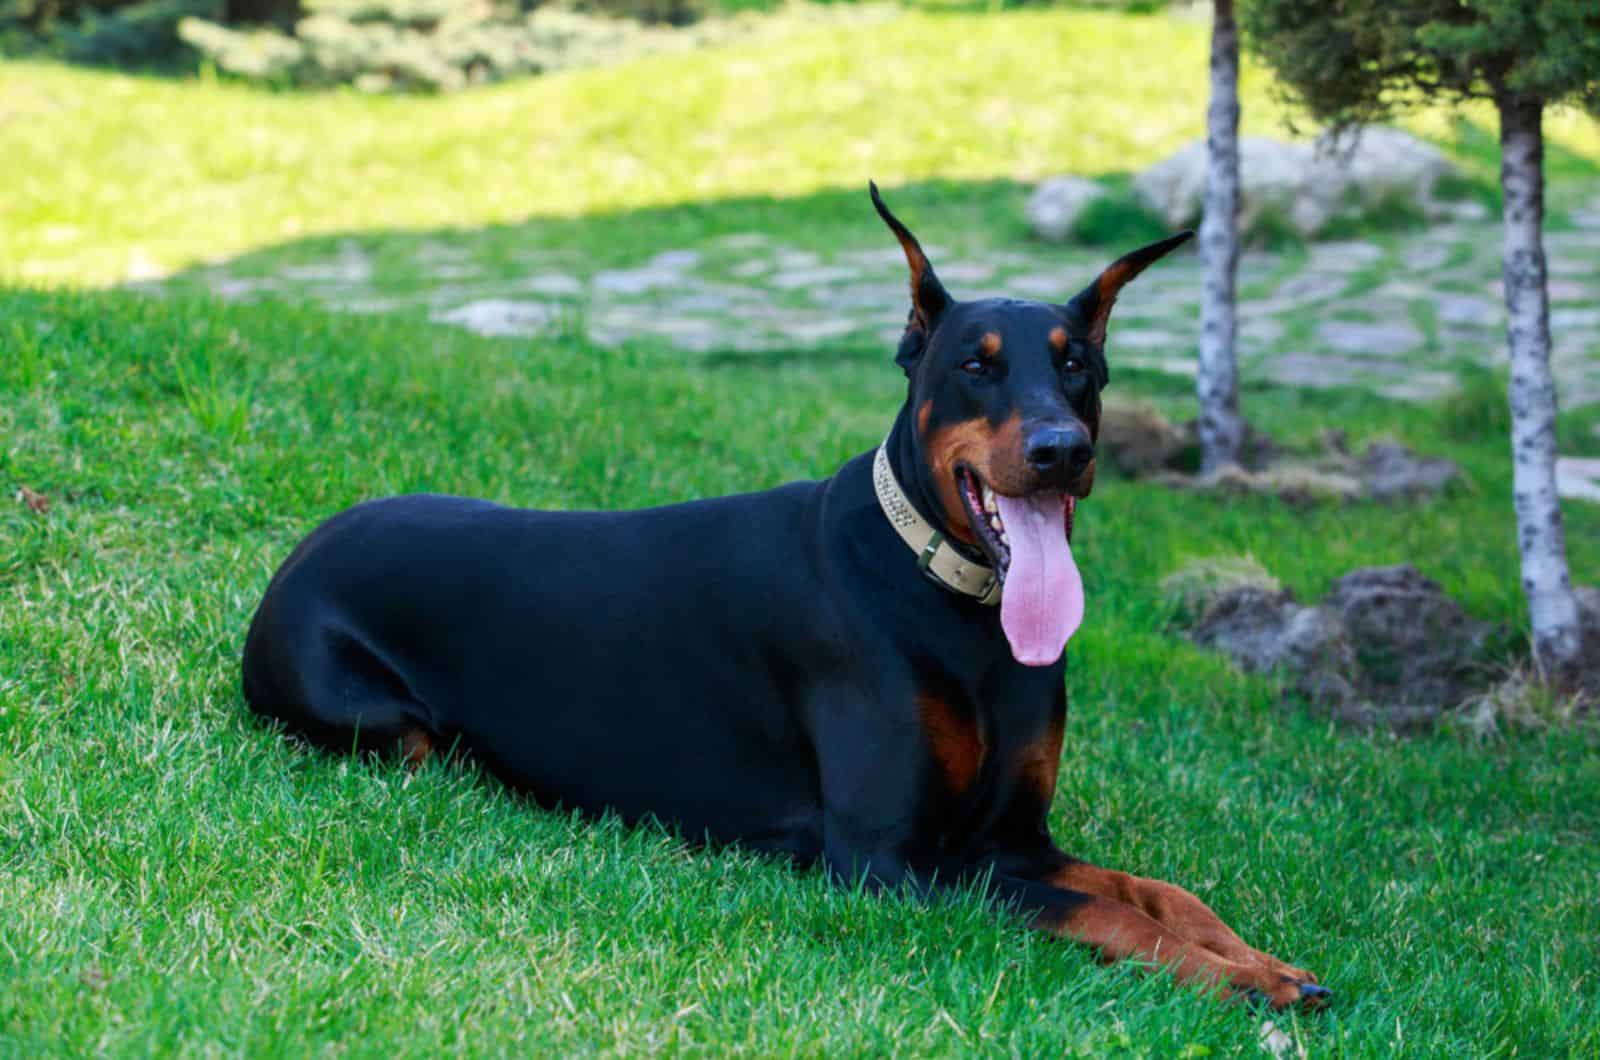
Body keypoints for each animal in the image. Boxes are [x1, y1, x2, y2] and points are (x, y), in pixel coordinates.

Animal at [240, 184, 1324, 1011]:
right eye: (974, 366)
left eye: (1077, 365)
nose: (1064, 449)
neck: (954, 603)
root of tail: (304, 549)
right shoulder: (886, 860)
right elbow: (1100, 909)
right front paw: (1239, 980)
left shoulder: (1014, 838)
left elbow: (1157, 890)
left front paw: (1261, 960)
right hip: (380, 724)